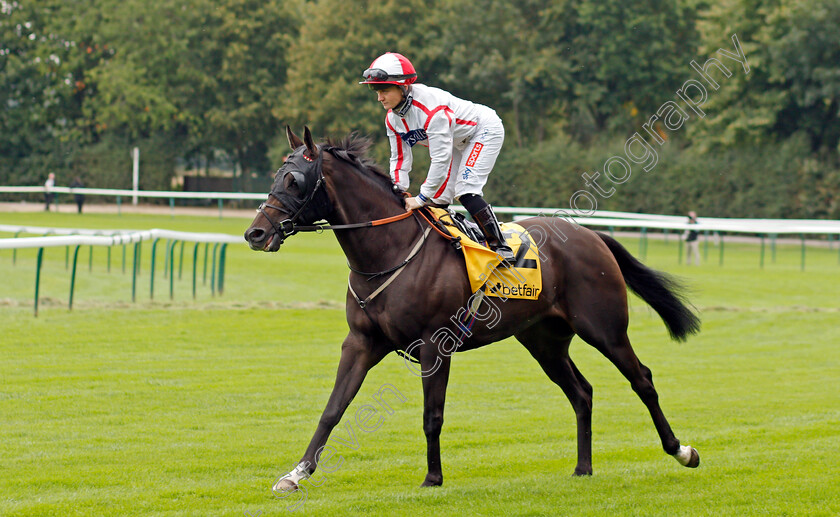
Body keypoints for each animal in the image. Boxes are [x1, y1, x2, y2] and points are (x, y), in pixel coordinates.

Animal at [244, 127, 704, 490]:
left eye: (295, 180)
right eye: (276, 176)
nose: (255, 233)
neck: (388, 253)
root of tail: (591, 234)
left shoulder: (434, 345)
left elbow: (432, 414)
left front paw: (432, 478)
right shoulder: (360, 342)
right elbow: (333, 409)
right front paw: (296, 473)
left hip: (605, 328)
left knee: (642, 379)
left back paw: (681, 450)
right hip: (544, 340)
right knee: (582, 392)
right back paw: (583, 468)